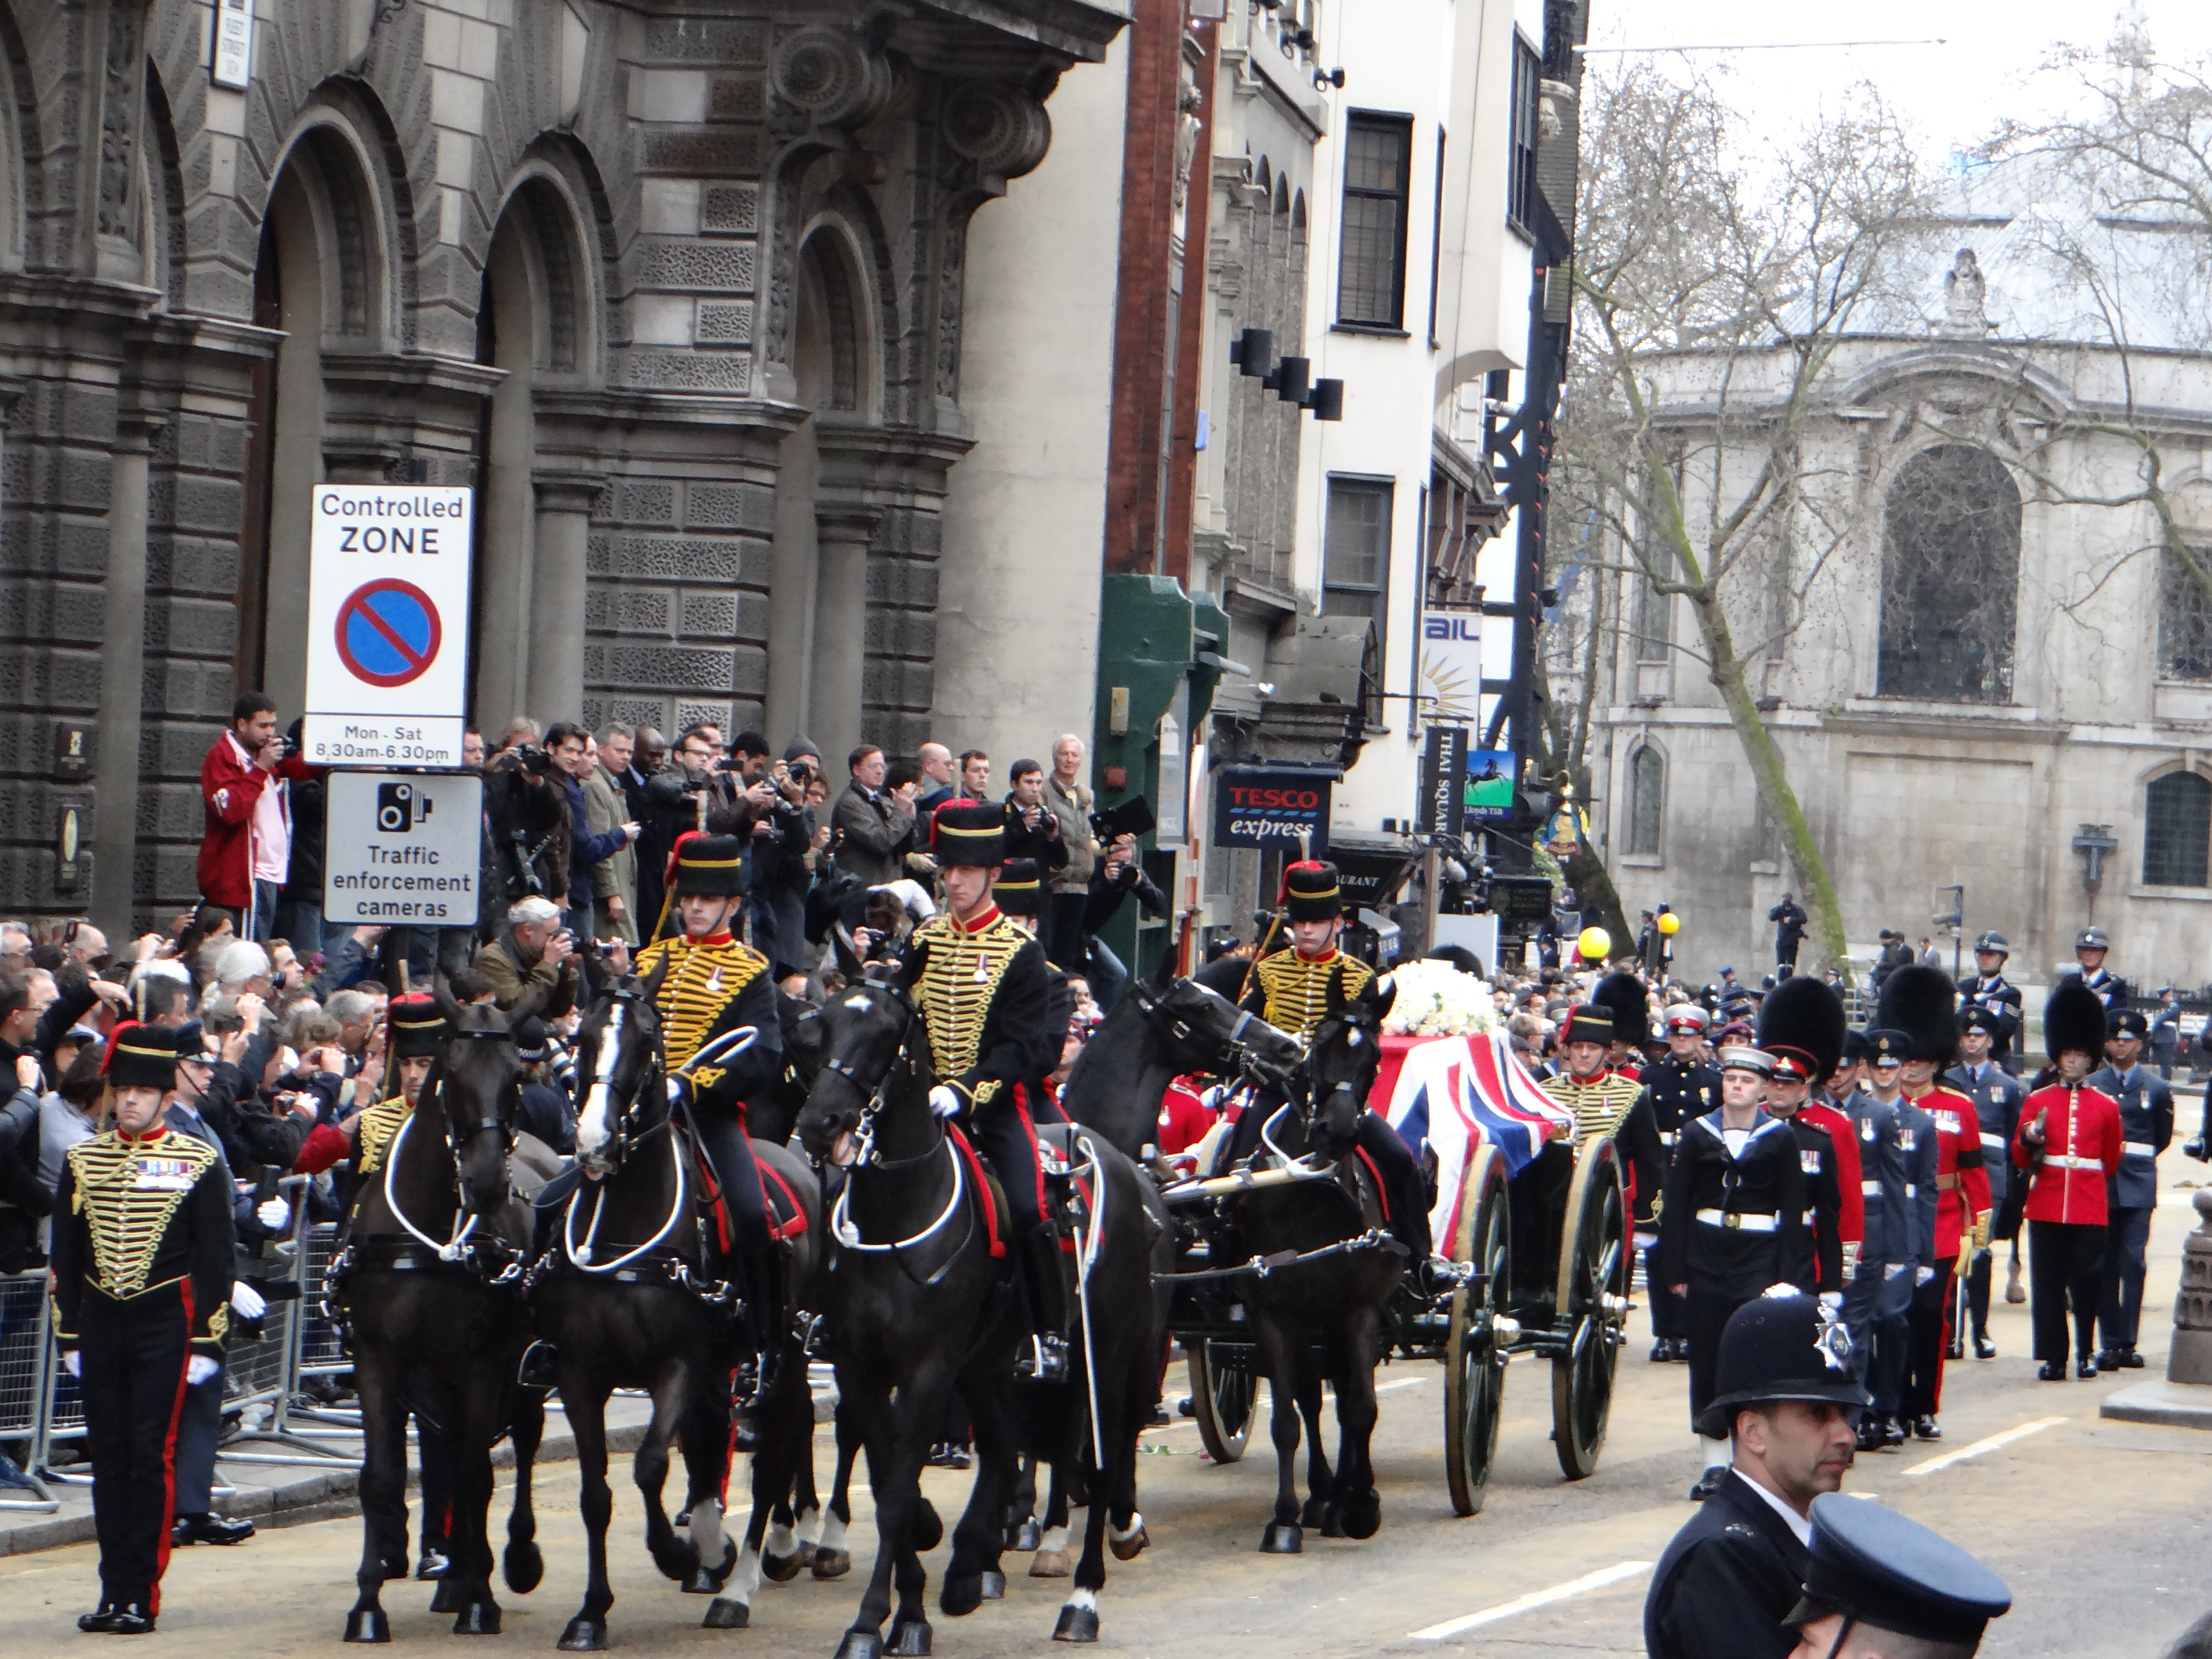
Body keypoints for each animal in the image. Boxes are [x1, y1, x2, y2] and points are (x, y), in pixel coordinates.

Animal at [333, 988, 547, 1642]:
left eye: (515, 1077)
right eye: (450, 1074)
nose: (486, 1183)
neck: (429, 1239)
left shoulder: (484, 1361)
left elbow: (479, 1474)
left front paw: (482, 1598)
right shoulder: (377, 1360)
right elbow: (382, 1476)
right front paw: (368, 1604)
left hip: (525, 1367)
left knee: (521, 1443)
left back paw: (509, 1560)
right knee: (449, 1454)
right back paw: (454, 1573)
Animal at [529, 961, 826, 1649]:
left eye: (646, 1037)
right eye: (581, 1036)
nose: (593, 1141)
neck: (624, 1228)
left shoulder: (679, 1366)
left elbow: (648, 1464)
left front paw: (677, 1553)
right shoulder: (580, 1373)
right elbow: (597, 1492)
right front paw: (591, 1613)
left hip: (785, 1355)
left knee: (773, 1454)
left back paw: (742, 1581)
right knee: (714, 1441)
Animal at [1215, 966, 1404, 1553]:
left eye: (1375, 1058)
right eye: (1316, 1051)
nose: (1337, 1132)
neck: (1309, 1193)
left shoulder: (1359, 1311)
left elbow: (1361, 1408)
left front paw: (1361, 1505)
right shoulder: (1274, 1315)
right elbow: (1288, 1419)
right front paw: (1286, 1519)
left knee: (1344, 1398)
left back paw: (1345, 1494)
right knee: (1312, 1398)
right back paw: (1322, 1495)